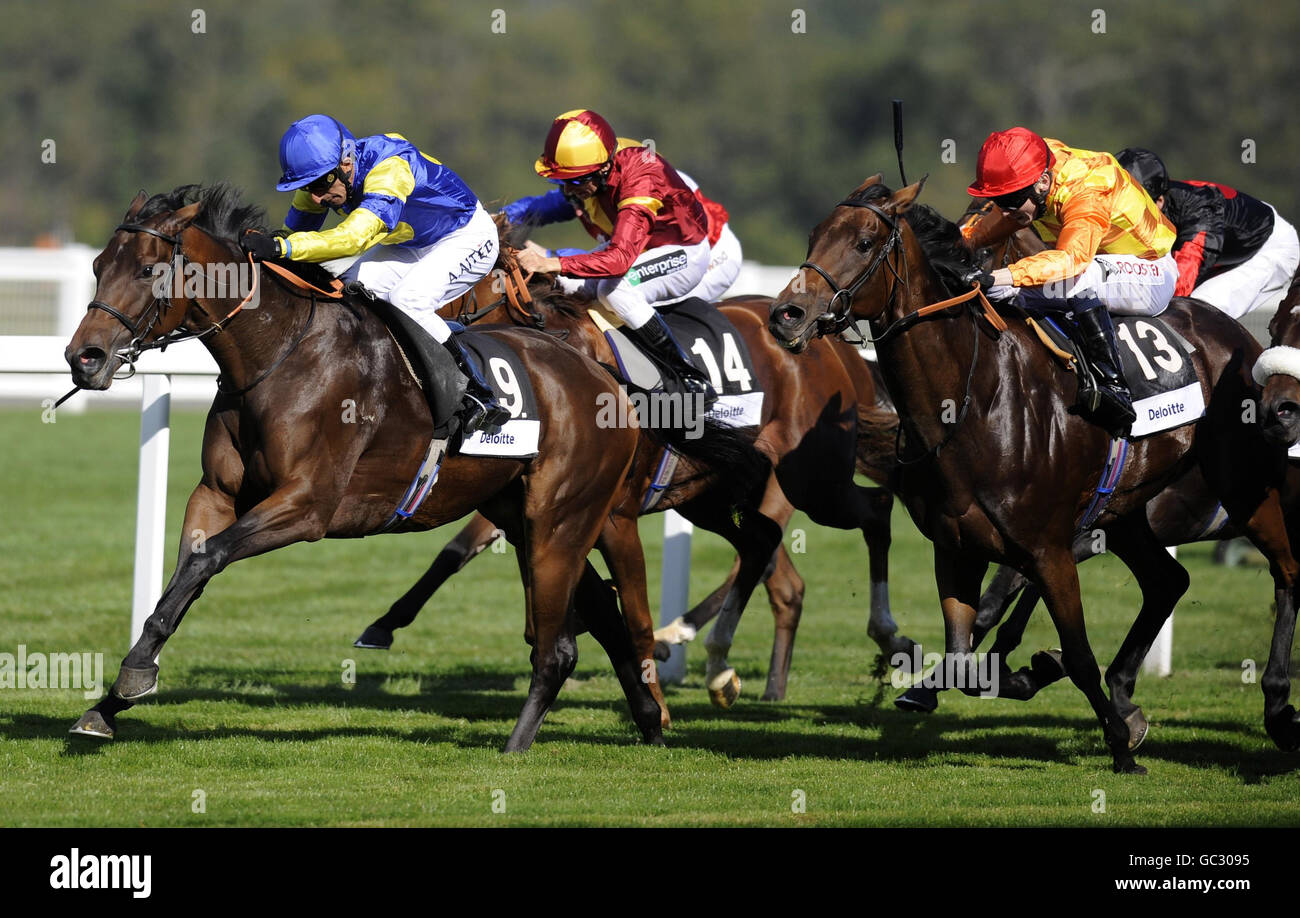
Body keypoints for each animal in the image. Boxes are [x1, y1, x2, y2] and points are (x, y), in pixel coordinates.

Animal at [64, 180, 707, 748]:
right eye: (97, 265)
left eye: (147, 270)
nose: (83, 358)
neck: (281, 352)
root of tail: (604, 375)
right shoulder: (216, 494)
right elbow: (183, 578)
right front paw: (111, 701)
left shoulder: (307, 505)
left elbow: (207, 560)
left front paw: (130, 680)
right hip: (522, 513)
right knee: (600, 609)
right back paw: (649, 719)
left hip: (563, 516)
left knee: (568, 636)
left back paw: (530, 742)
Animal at [351, 227, 909, 702]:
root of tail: (832, 347)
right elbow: (461, 552)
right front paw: (383, 625)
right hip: (715, 494)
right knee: (777, 568)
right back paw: (754, 676)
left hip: (812, 479)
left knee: (873, 508)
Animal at [764, 175, 1300, 769]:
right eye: (813, 236)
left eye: (863, 243)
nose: (786, 314)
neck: (974, 401)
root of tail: (1242, 337)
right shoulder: (956, 549)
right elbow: (963, 657)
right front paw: (1024, 675)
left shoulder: (1051, 548)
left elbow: (1075, 652)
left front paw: (1118, 742)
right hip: (1127, 512)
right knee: (1168, 580)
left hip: (1247, 489)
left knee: (1287, 573)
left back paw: (1279, 709)